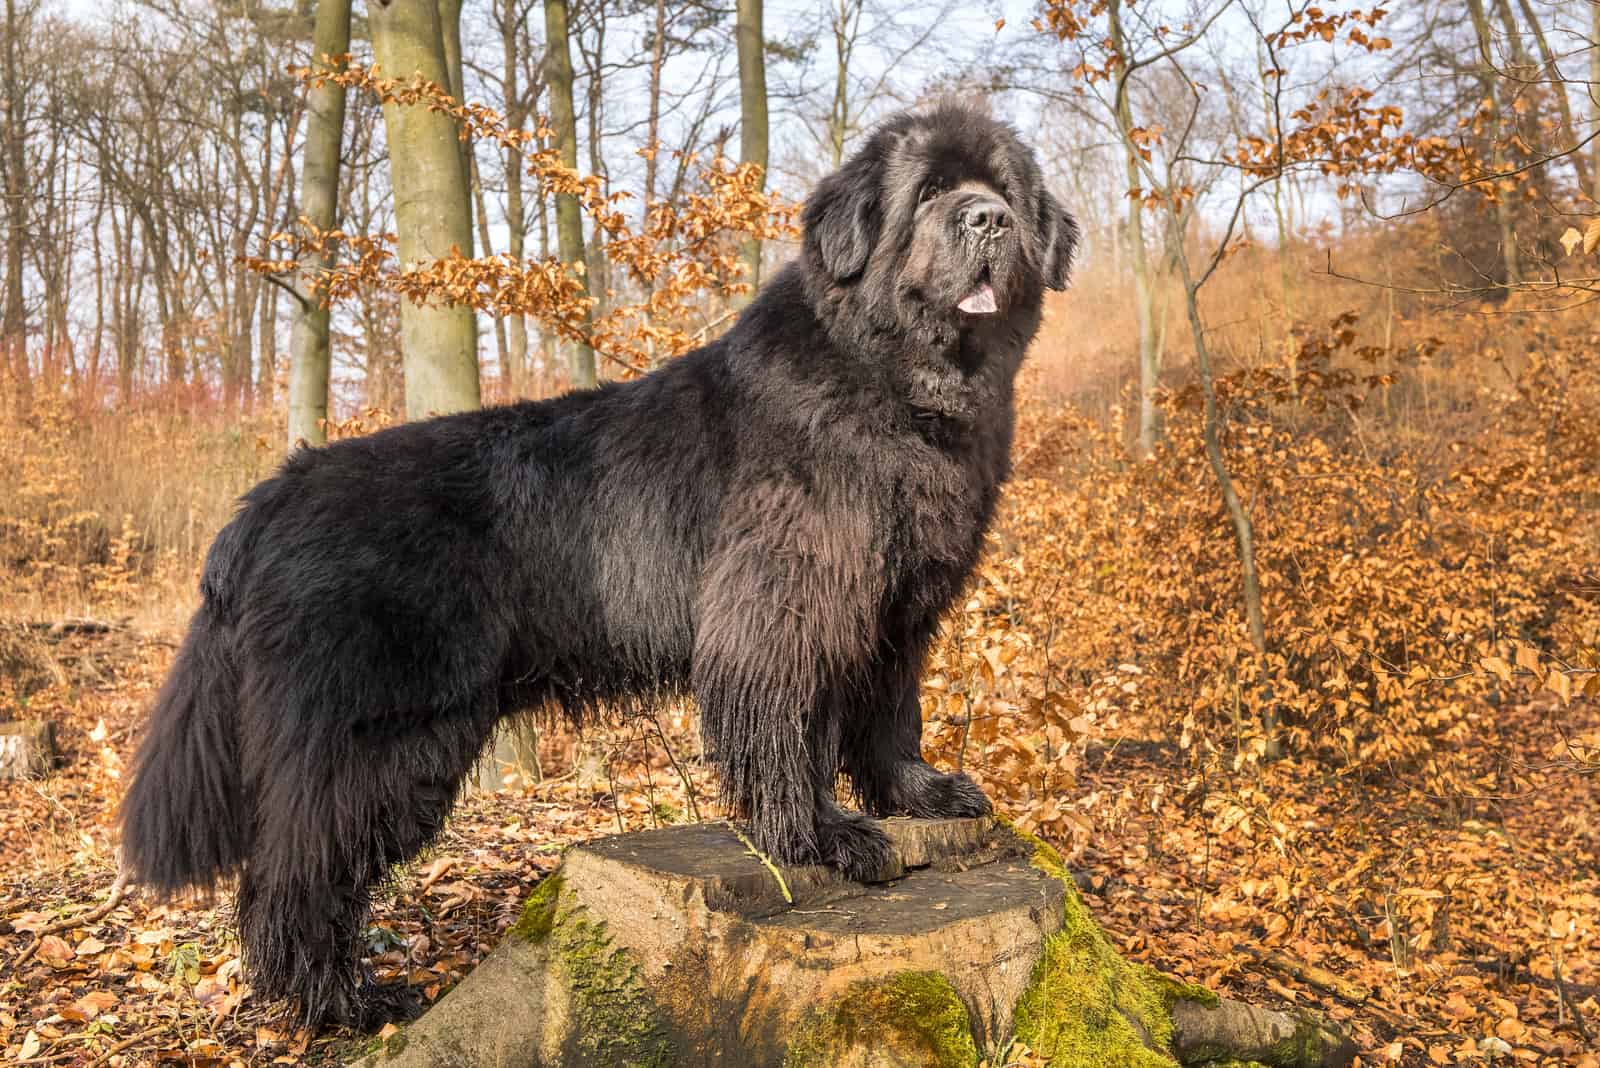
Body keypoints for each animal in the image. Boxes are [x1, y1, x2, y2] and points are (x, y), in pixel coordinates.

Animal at [121, 102, 1075, 1023]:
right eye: (929, 192)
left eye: (1002, 190)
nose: (988, 219)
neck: (900, 392)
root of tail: (268, 497)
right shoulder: (783, 604)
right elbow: (790, 729)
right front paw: (822, 838)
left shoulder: (898, 609)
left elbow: (890, 714)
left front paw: (917, 794)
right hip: (378, 738)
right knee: (301, 871)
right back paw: (340, 1003)